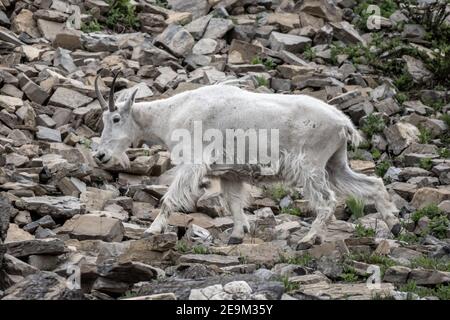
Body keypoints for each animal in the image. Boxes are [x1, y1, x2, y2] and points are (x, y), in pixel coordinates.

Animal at [92, 74, 400, 249]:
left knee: (326, 201)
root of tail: (343, 123)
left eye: (116, 118)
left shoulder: (193, 162)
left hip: (310, 164)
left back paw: (307, 240)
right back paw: (394, 224)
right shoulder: (230, 173)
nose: (100, 155)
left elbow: (170, 199)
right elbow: (233, 203)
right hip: (335, 164)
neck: (170, 114)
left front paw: (153, 229)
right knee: (372, 184)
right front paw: (237, 235)